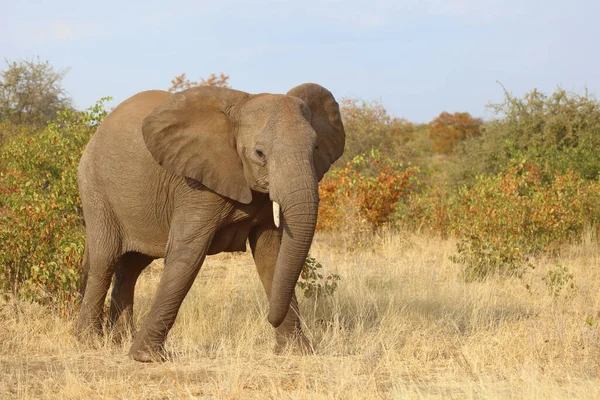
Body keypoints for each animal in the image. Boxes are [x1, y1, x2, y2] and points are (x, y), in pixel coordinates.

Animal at [75, 83, 346, 360]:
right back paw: (89, 341)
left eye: (315, 149)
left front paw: (297, 351)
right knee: (105, 260)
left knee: (131, 267)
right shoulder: (195, 185)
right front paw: (145, 357)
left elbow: (271, 256)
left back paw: (119, 339)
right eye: (259, 154)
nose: (269, 317)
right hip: (95, 189)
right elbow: (188, 256)